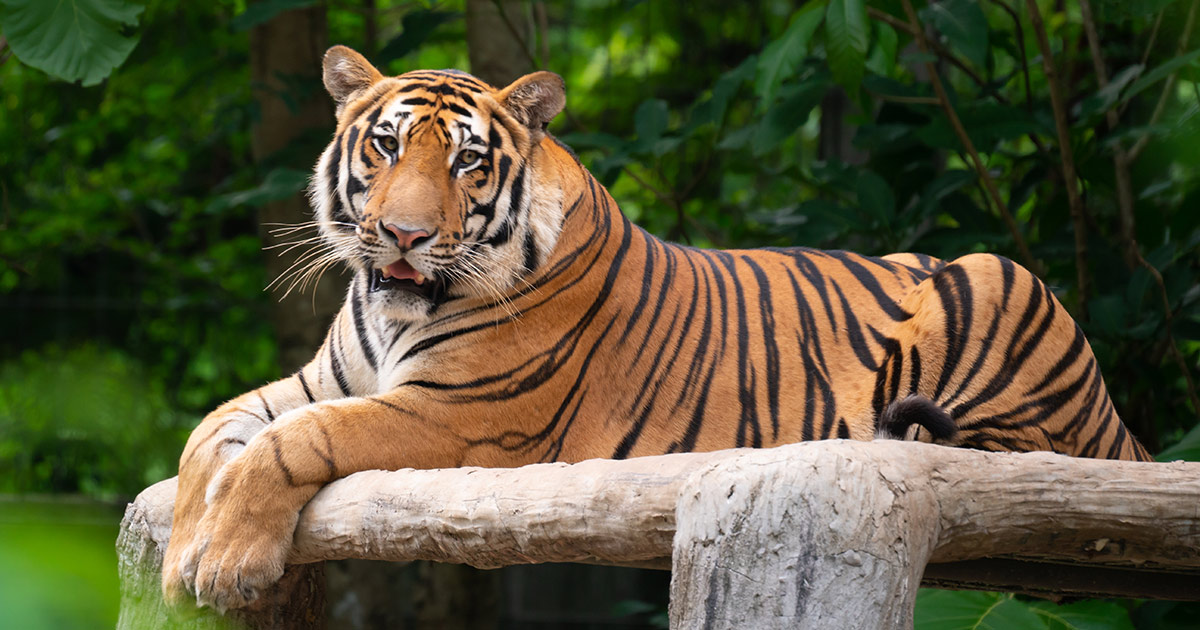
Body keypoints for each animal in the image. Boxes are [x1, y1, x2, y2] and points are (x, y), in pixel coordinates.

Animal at [162, 45, 1152, 612]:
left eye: (468, 163)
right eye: (385, 147)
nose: (402, 235)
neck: (390, 306)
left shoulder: (459, 415)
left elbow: (297, 442)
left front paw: (225, 560)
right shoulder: (315, 382)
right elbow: (210, 435)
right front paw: (177, 558)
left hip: (997, 279)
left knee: (1030, 455)